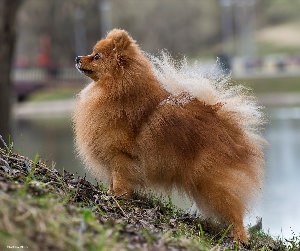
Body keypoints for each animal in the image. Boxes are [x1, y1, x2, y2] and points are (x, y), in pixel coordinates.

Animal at [72, 29, 264, 243]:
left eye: (97, 56)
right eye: (92, 53)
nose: (78, 57)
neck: (117, 90)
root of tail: (228, 125)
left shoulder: (120, 157)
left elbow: (120, 181)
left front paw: (118, 198)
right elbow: (114, 182)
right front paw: (111, 194)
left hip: (214, 183)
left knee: (235, 213)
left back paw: (239, 238)